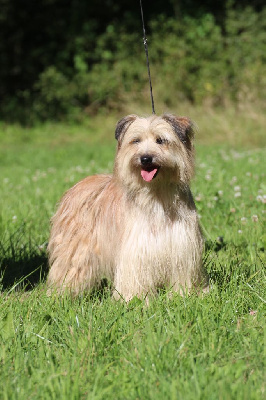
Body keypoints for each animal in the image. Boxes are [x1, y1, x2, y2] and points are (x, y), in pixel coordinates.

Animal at [47, 113, 210, 300]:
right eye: (136, 141)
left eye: (160, 140)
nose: (145, 158)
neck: (157, 194)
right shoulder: (136, 249)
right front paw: (136, 299)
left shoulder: (181, 246)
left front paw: (184, 295)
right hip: (75, 249)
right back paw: (61, 295)